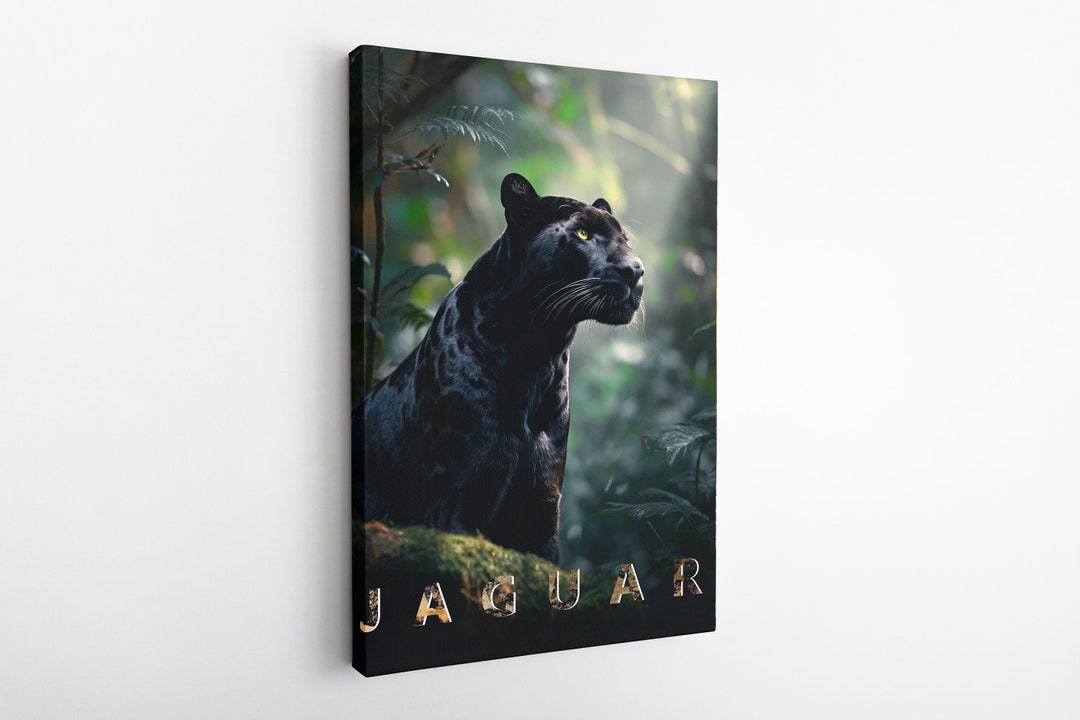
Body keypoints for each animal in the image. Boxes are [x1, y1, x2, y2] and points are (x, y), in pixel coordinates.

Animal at [353, 173, 644, 563]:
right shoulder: (459, 496)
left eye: (625, 239)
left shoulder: (542, 506)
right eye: (583, 233)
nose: (636, 271)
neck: (537, 355)